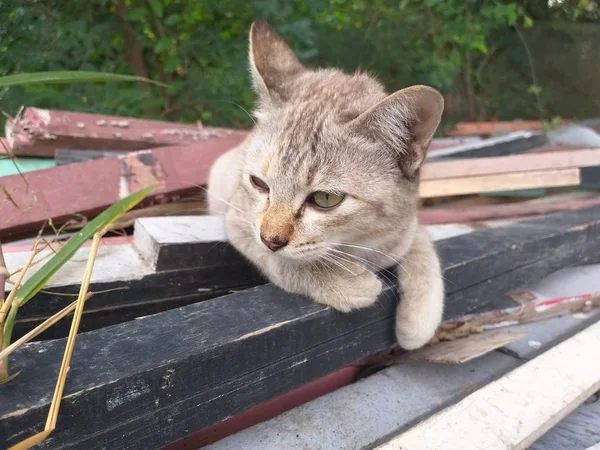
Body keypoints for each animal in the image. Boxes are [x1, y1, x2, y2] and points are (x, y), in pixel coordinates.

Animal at [207, 21, 446, 350]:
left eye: (325, 199)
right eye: (259, 184)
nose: (271, 239)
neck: (357, 245)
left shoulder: (405, 228)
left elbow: (422, 250)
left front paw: (419, 321)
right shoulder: (239, 221)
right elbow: (279, 261)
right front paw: (344, 281)